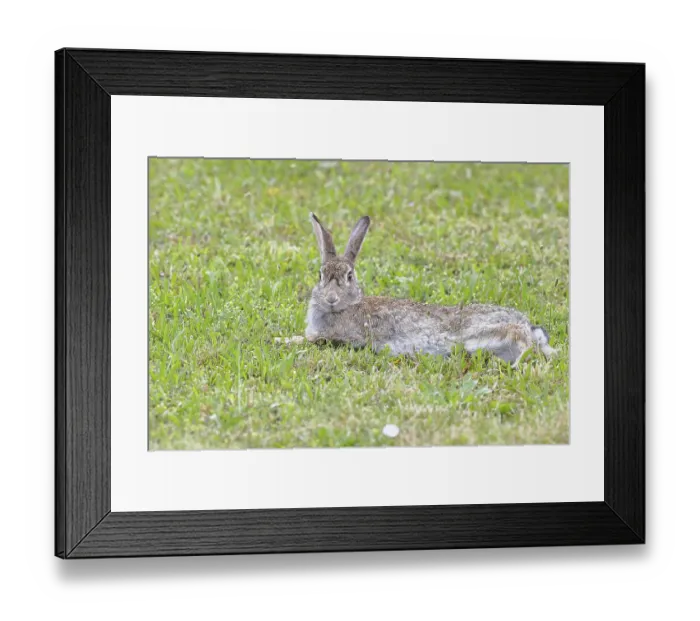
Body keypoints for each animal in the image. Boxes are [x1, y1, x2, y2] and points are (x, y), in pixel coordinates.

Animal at [305, 213, 556, 365]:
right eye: (320, 275)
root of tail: (527, 325)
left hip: (481, 333)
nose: (331, 299)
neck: (350, 306)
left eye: (349, 276)